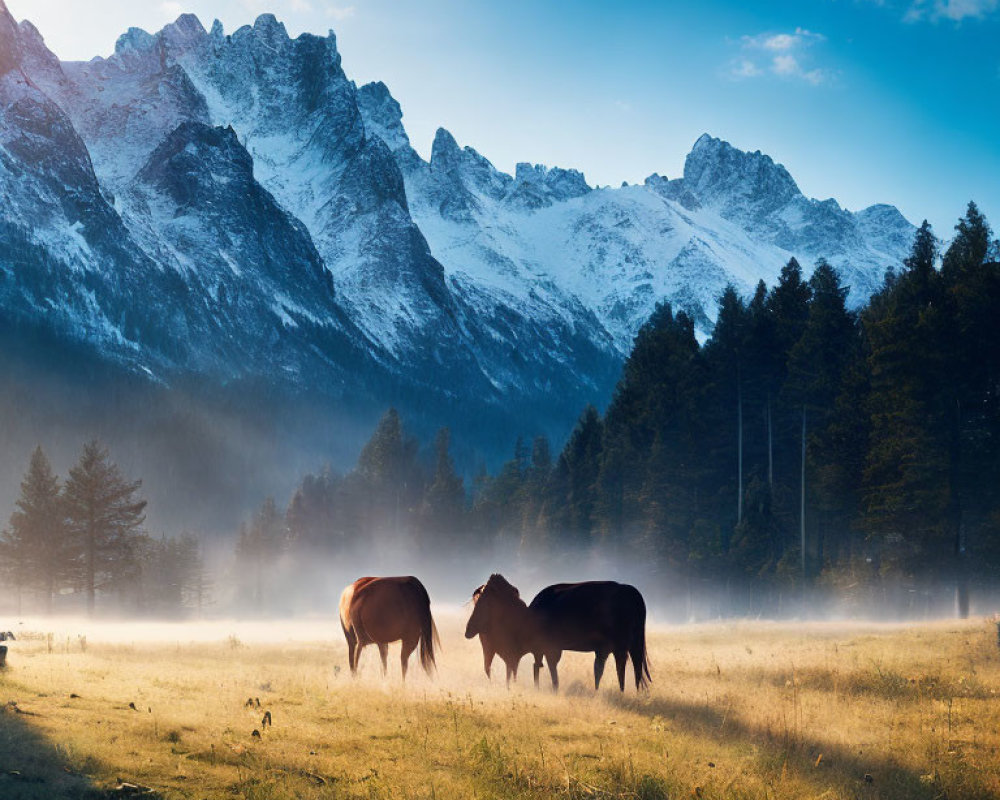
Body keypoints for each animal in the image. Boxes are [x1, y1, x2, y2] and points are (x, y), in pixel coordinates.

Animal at [466, 576, 652, 692]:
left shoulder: (551, 649)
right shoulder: (540, 650)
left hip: (622, 645)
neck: (527, 620)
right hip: (628, 645)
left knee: (623, 667)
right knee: (630, 668)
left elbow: (553, 674)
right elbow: (537, 668)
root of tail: (634, 595)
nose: (468, 630)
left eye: (483, 604)